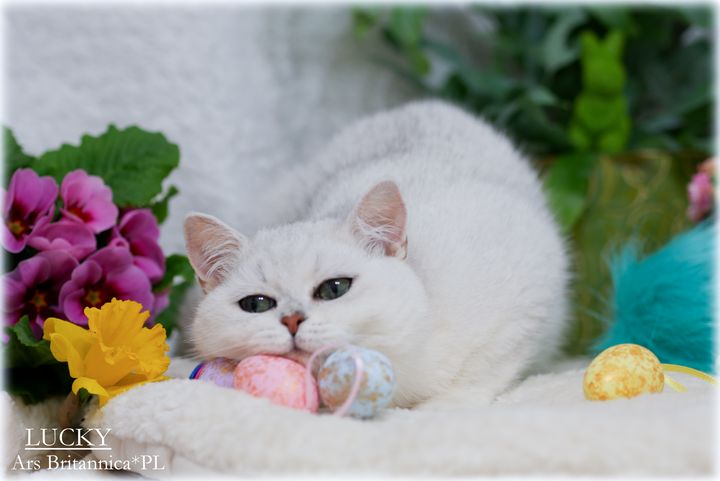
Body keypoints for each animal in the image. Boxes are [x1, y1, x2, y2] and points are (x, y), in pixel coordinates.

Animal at [183, 101, 569, 409]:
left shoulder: (528, 297)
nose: (292, 320)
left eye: (335, 288)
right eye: (256, 304)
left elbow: (484, 371)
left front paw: (443, 406)